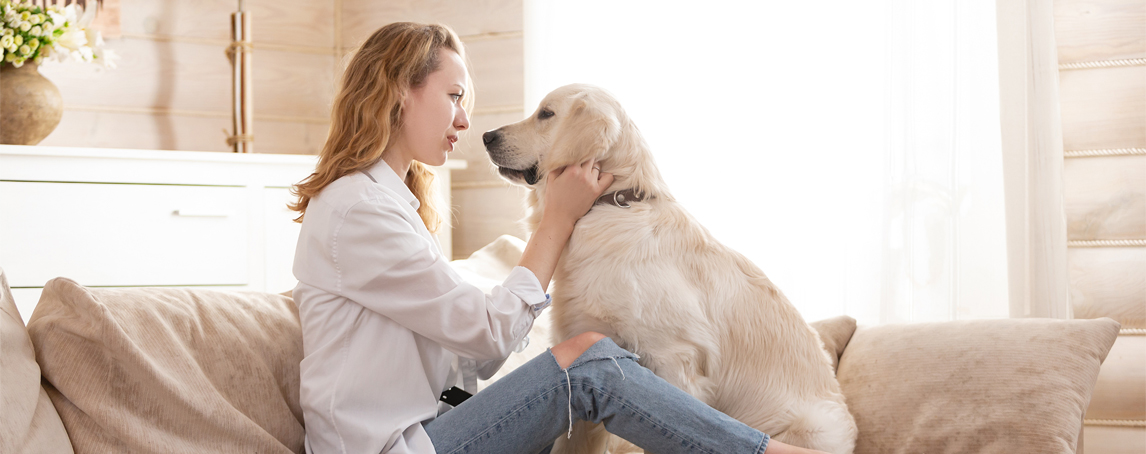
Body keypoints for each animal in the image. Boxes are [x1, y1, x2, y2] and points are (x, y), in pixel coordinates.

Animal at [479, 83, 857, 451]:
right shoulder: (585, 342)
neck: (610, 204)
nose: (486, 136)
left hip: (810, 426)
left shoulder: (675, 360)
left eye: (546, 114)